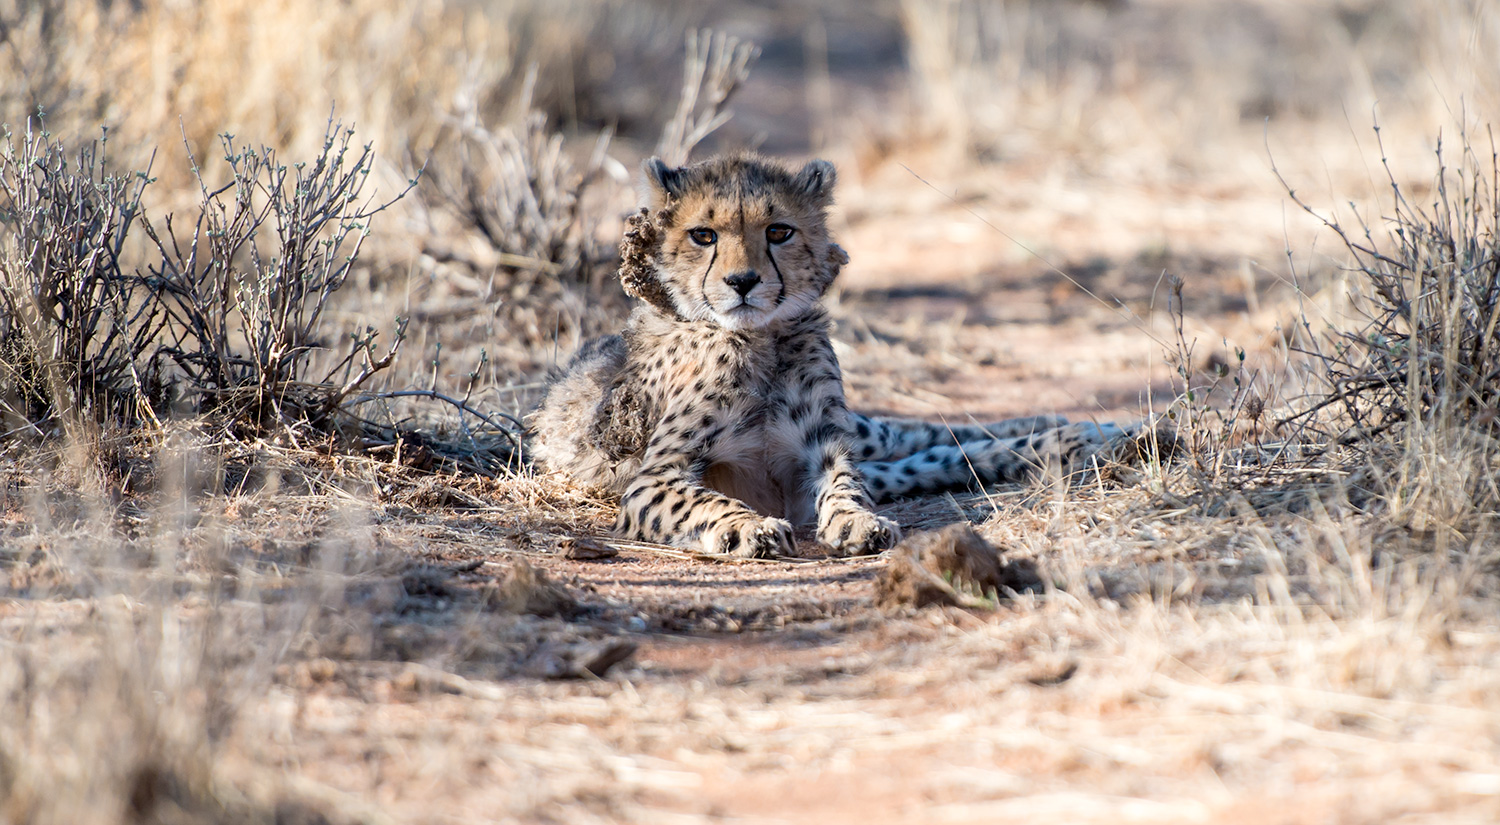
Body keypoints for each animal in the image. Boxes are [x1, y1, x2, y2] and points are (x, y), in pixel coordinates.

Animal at [528, 153, 1154, 558]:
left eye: (779, 231)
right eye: (703, 235)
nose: (742, 282)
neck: (760, 340)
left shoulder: (825, 447)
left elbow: (845, 486)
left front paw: (856, 522)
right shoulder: (652, 479)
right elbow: (704, 501)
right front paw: (748, 529)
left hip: (869, 434)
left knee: (927, 436)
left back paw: (1103, 432)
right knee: (932, 458)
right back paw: (1098, 438)